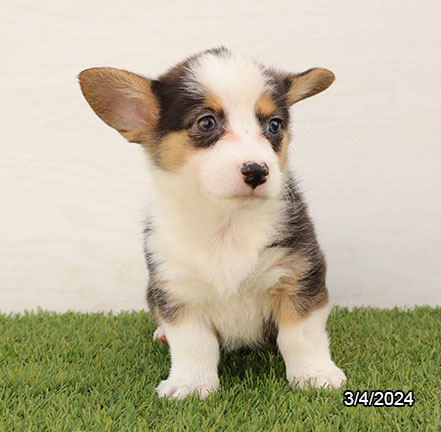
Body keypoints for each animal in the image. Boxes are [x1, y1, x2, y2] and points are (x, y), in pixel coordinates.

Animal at [80, 47, 348, 398]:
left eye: (275, 125)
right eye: (207, 122)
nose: (257, 171)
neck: (226, 223)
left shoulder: (299, 275)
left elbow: (301, 336)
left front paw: (315, 375)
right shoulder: (177, 291)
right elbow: (194, 345)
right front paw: (191, 384)